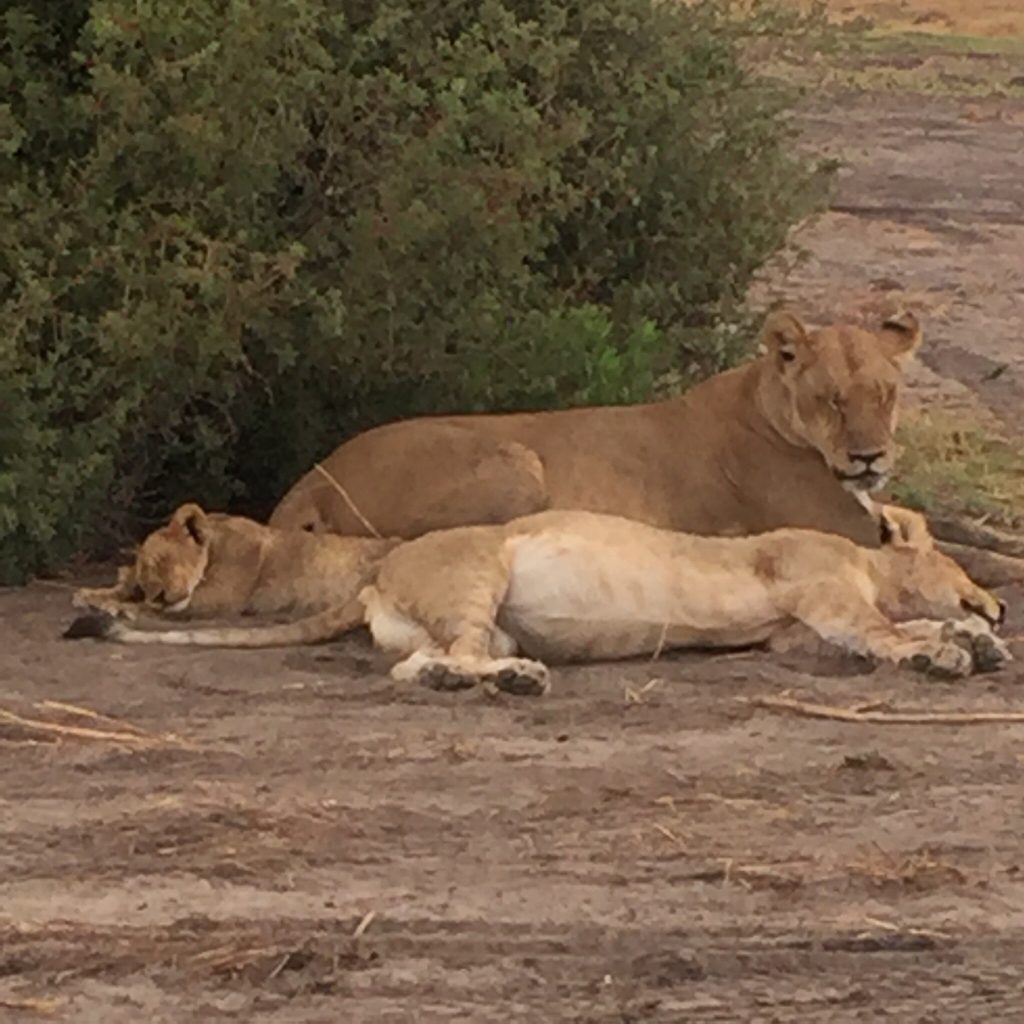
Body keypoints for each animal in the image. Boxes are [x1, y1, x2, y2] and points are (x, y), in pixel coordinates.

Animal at [268, 310, 923, 552]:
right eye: (830, 400)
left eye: (884, 395)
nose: (870, 458)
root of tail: (318, 472)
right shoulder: (840, 526)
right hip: (516, 463)